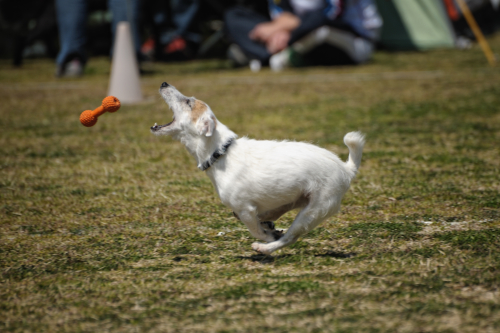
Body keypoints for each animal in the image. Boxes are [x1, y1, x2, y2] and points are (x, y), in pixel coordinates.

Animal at [150, 81, 366, 253]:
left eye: (188, 102)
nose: (164, 83)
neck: (221, 152)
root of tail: (346, 169)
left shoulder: (245, 209)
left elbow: (255, 229)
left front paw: (267, 236)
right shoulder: (245, 210)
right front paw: (270, 228)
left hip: (312, 211)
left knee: (289, 237)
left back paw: (265, 248)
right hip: (297, 201)